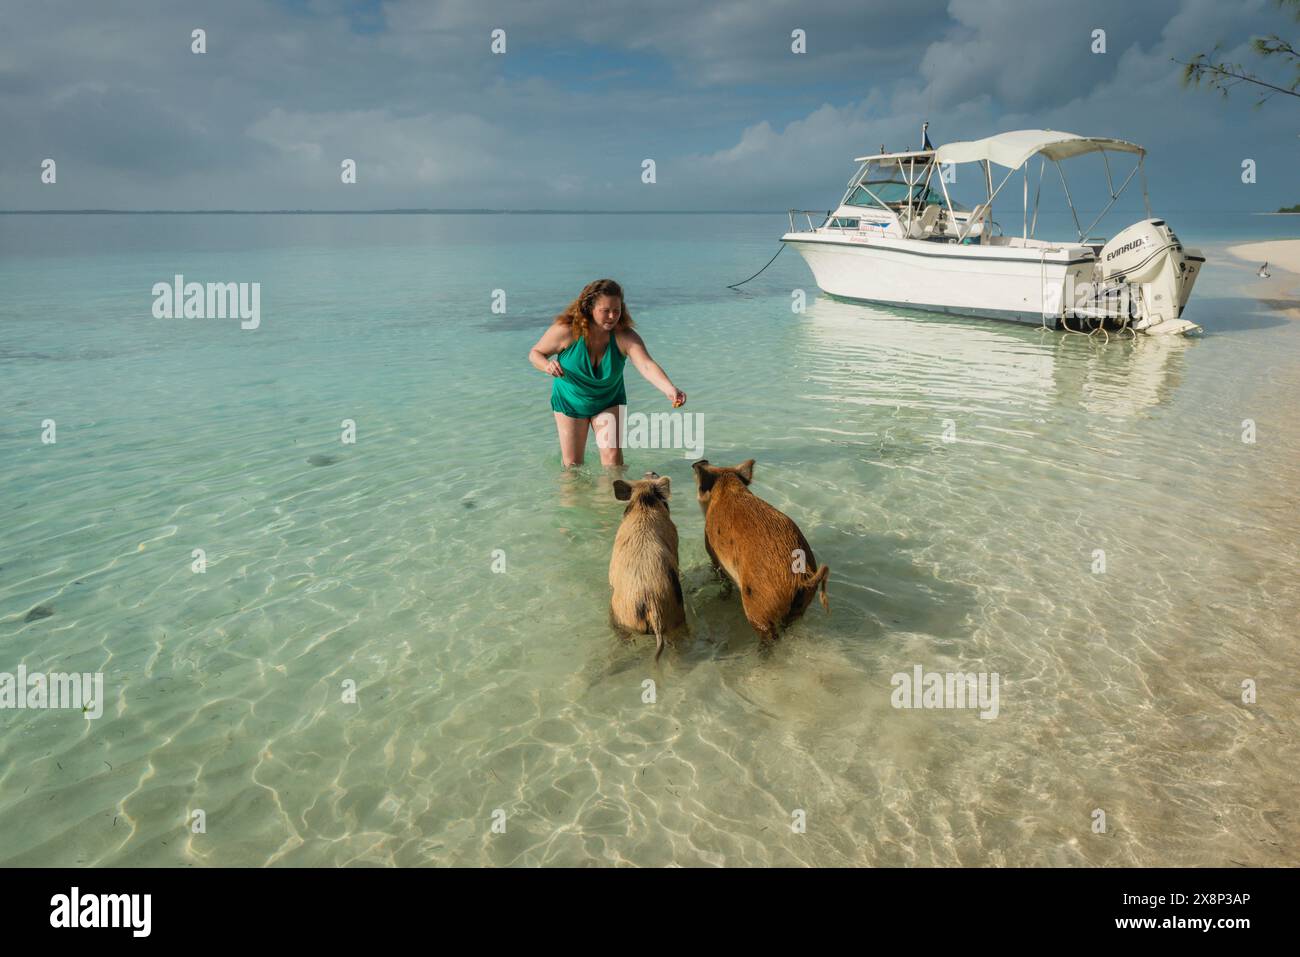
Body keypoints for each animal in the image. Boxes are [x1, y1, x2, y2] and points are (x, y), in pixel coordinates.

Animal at [696, 457, 826, 642]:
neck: (726, 488)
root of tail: (800, 578)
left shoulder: (712, 553)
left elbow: (720, 576)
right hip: (800, 607)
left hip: (758, 605)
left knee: (769, 634)